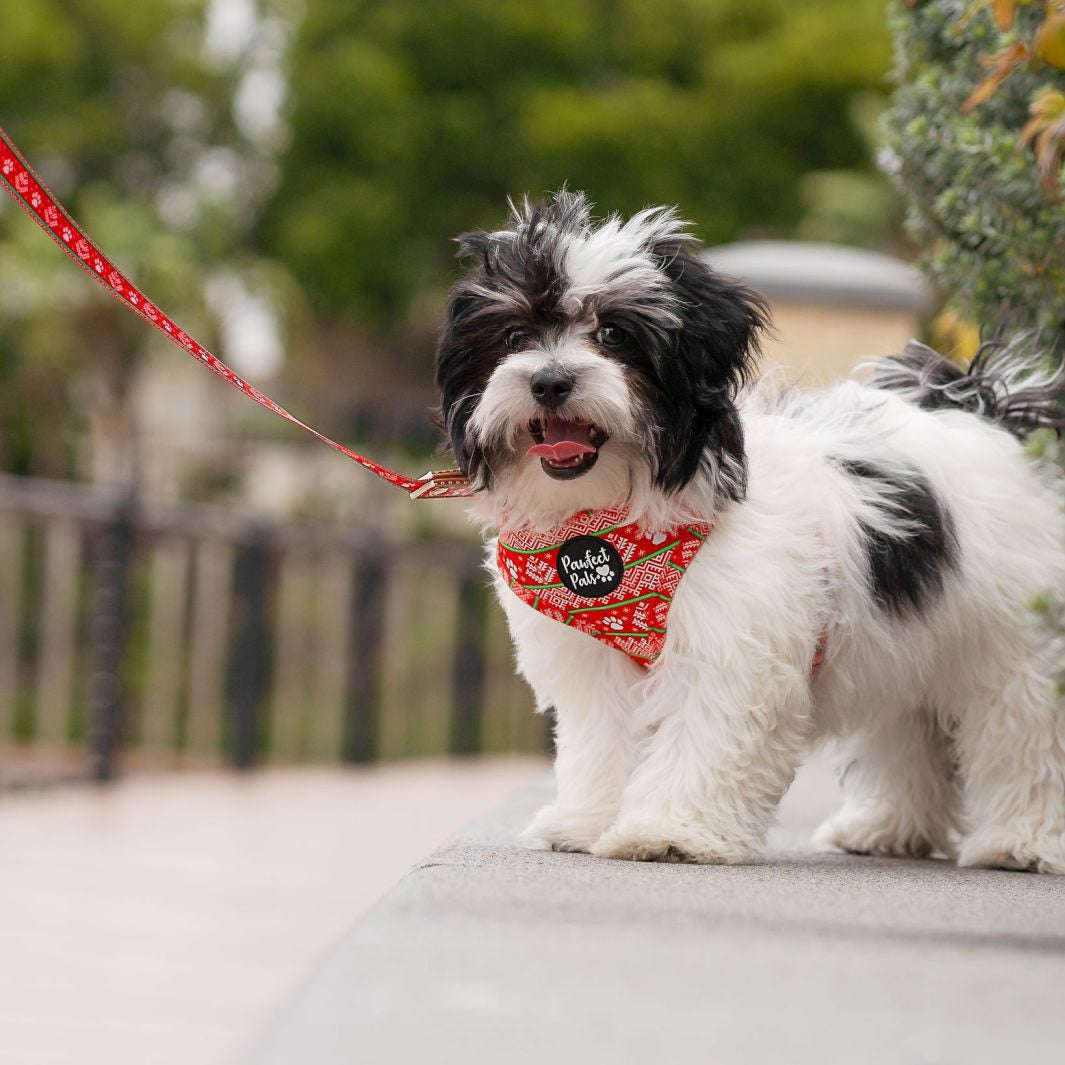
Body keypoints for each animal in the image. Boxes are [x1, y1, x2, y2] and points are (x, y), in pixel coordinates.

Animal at [432, 189, 1065, 873]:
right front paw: (588, 820)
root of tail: (996, 415)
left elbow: (703, 732)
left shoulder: (728, 646)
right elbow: (605, 738)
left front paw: (671, 832)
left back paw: (1022, 840)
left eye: (613, 333)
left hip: (1015, 641)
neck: (622, 525)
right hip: (913, 637)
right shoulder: (596, 660)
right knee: (908, 725)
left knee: (1027, 733)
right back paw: (888, 827)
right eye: (515, 335)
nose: (549, 380)